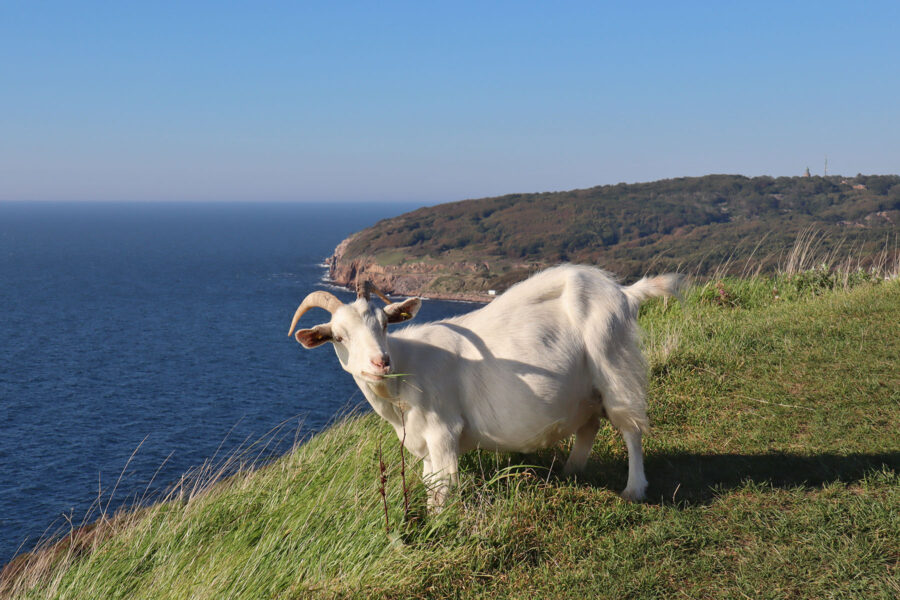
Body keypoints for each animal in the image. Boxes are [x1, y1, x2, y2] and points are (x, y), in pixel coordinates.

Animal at [288, 264, 683, 509]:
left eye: (385, 324)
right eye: (339, 336)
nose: (380, 362)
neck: (406, 372)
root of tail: (625, 292)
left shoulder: (443, 431)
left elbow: (442, 491)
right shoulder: (424, 442)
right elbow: (430, 483)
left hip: (614, 363)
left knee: (630, 427)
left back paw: (634, 489)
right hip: (586, 389)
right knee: (589, 425)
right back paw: (570, 472)